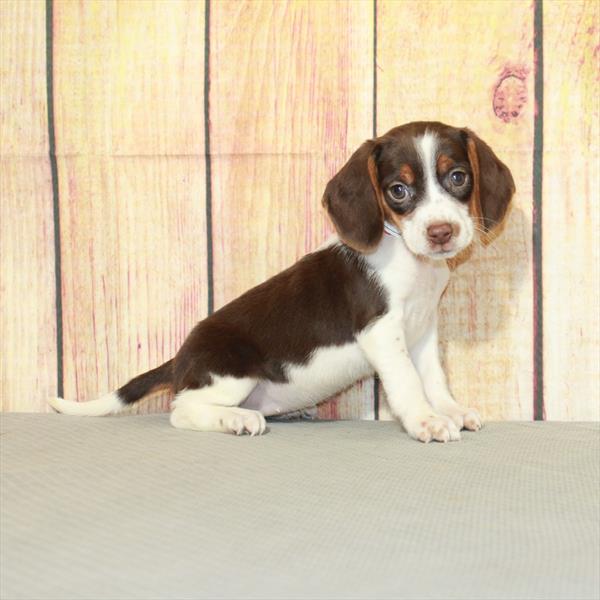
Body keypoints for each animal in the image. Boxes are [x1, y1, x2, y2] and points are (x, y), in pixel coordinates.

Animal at [49, 122, 512, 442]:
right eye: (398, 190)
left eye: (458, 177)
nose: (441, 232)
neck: (411, 262)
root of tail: (181, 357)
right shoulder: (382, 333)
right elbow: (408, 382)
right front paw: (425, 421)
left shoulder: (423, 330)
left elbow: (434, 379)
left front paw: (450, 411)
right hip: (232, 372)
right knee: (181, 409)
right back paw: (236, 418)